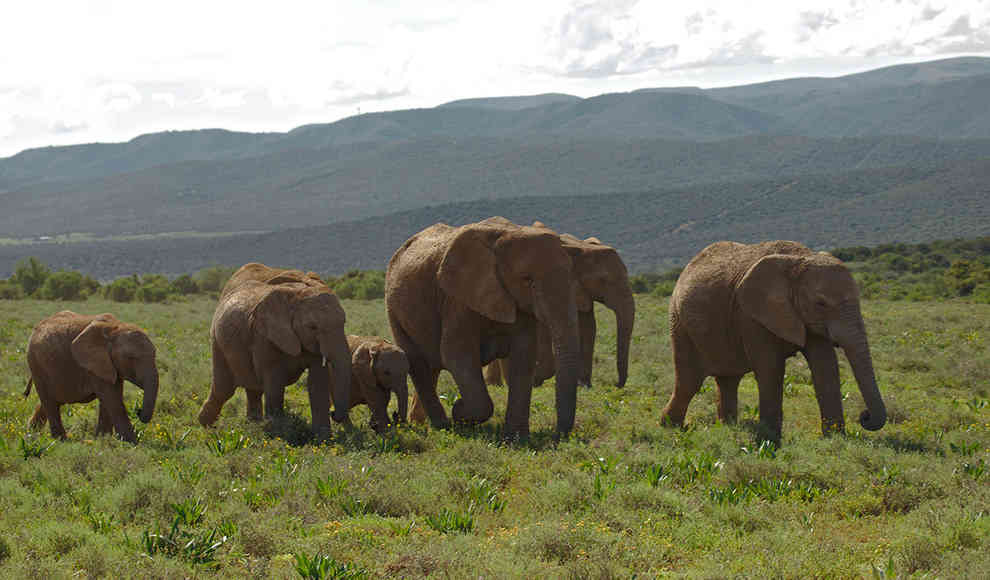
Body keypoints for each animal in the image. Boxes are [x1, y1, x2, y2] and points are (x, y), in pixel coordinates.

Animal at [25, 312, 159, 444]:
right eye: (131, 358)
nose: (138, 411)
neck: (115, 328)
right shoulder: (93, 364)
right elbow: (112, 398)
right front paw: (131, 443)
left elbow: (110, 398)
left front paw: (102, 439)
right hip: (36, 364)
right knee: (49, 402)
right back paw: (60, 440)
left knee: (50, 401)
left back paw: (31, 433)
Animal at [198, 264, 352, 440]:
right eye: (312, 327)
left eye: (344, 322)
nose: (334, 414)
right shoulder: (264, 336)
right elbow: (274, 382)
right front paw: (280, 436)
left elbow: (318, 382)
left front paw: (323, 440)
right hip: (217, 340)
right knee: (224, 389)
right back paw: (206, 427)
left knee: (253, 389)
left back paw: (253, 425)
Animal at [386, 218, 588, 440]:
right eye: (527, 280)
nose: (557, 434)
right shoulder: (458, 299)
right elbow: (456, 354)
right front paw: (460, 412)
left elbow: (523, 355)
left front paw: (516, 438)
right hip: (393, 310)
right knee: (418, 363)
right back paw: (442, 425)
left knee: (431, 367)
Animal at [486, 225, 640, 390]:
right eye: (604, 280)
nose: (615, 384)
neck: (583, 247)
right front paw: (537, 379)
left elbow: (588, 326)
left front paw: (584, 385)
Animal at [664, 241, 888, 444]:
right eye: (821, 303)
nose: (864, 416)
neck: (799, 259)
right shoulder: (750, 315)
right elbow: (771, 368)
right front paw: (769, 439)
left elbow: (826, 367)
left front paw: (835, 438)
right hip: (680, 323)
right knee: (689, 382)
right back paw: (671, 427)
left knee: (728, 381)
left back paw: (728, 428)